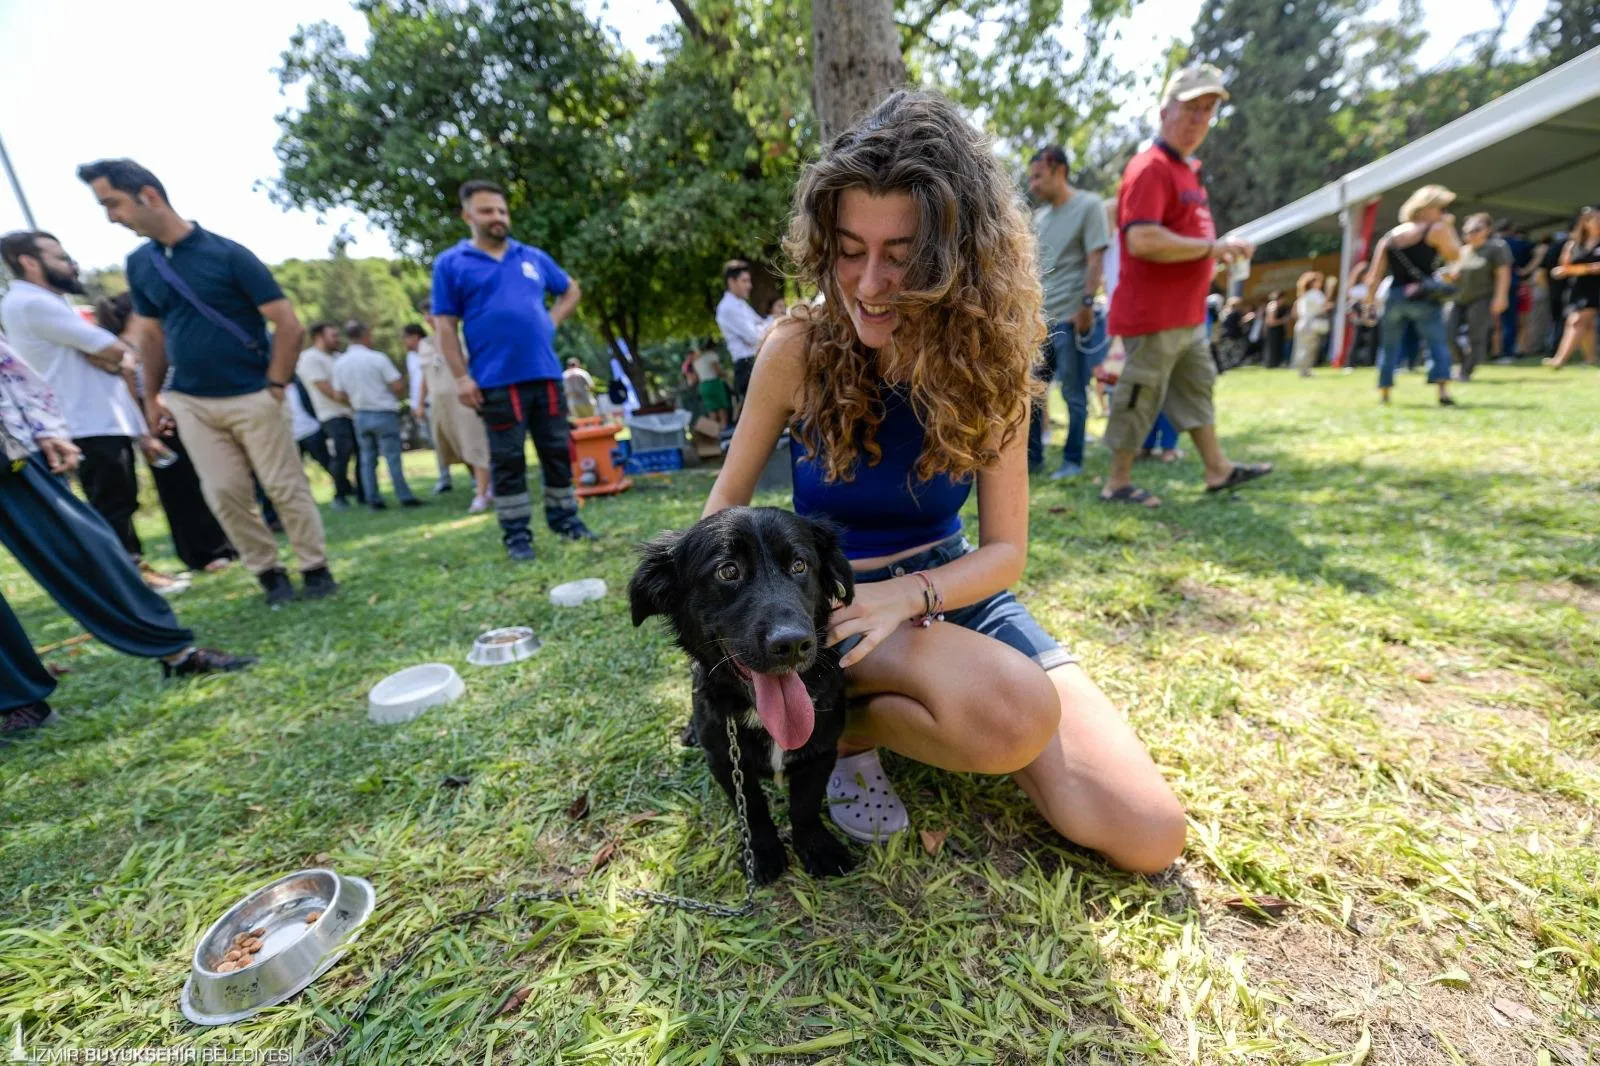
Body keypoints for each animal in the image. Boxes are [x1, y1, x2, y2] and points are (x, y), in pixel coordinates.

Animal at [627, 505, 864, 877]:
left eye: (799, 565)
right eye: (728, 571)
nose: (792, 644)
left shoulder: (822, 750)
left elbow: (806, 805)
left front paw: (817, 848)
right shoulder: (725, 758)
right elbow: (752, 808)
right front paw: (763, 853)